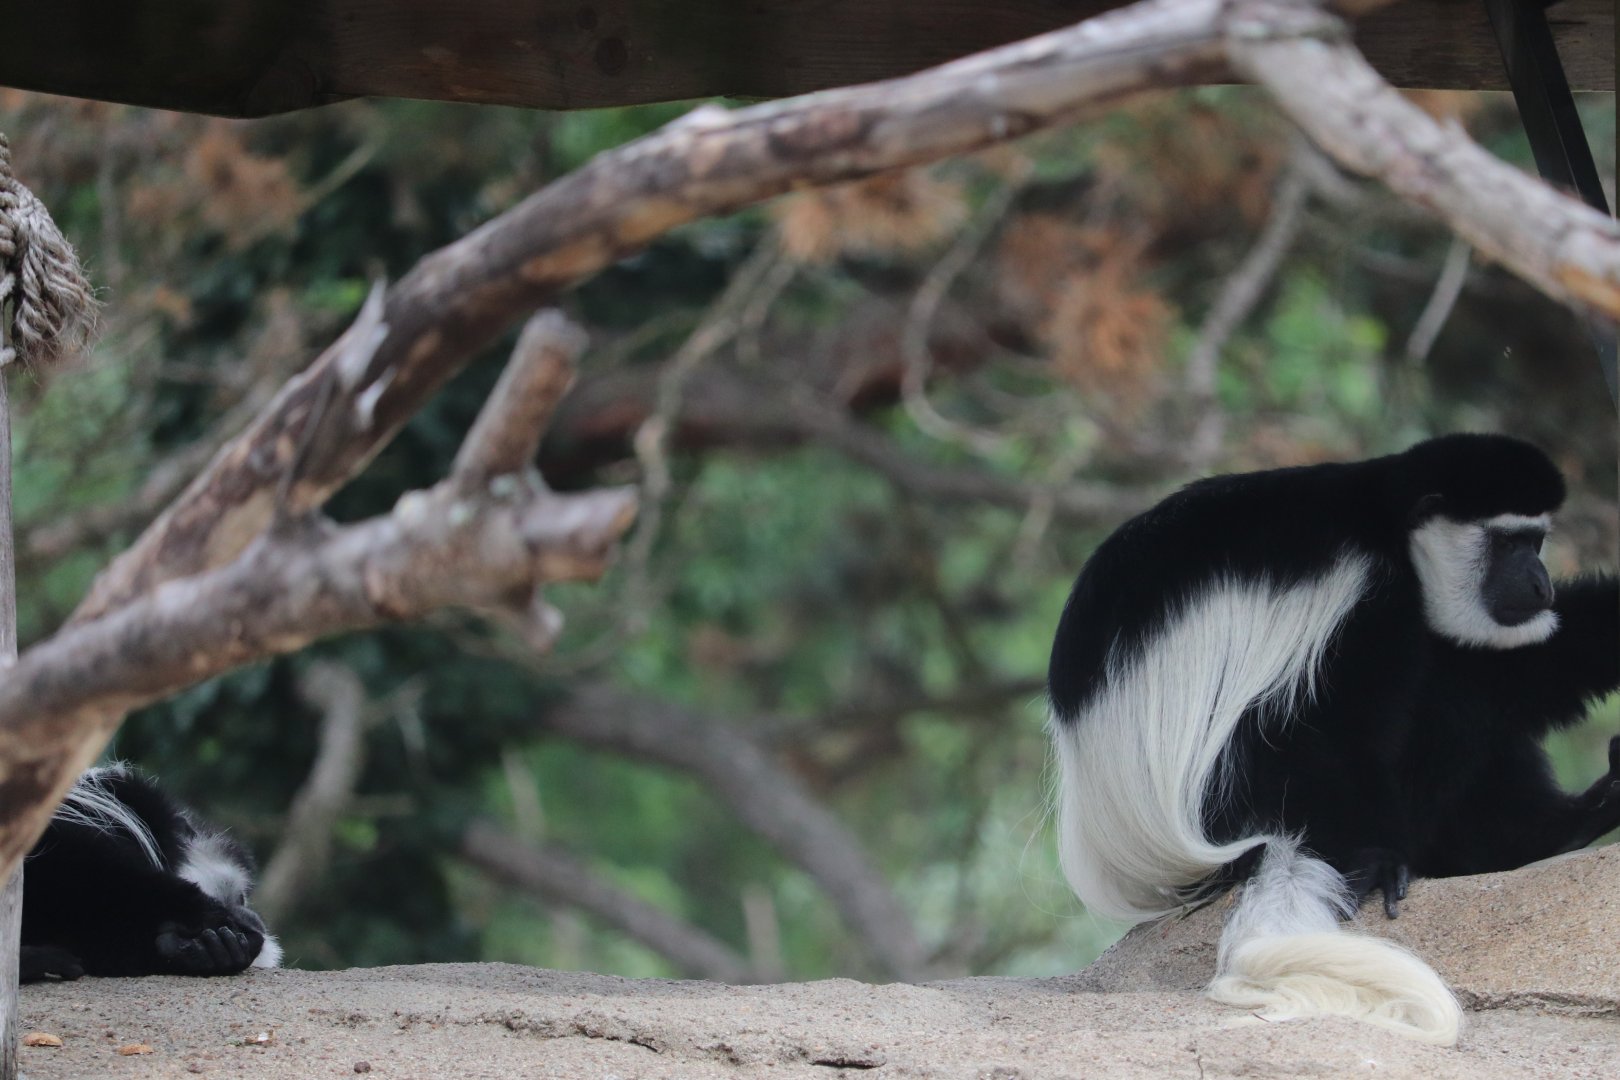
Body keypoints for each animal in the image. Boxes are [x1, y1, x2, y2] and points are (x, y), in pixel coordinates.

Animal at [1047, 433, 1620, 1045]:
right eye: (1508, 543)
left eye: (1536, 540)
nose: (1541, 585)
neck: (1384, 522)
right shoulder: (1368, 589)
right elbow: (1329, 724)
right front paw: (1379, 859)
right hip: (1226, 797)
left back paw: (1564, 825)